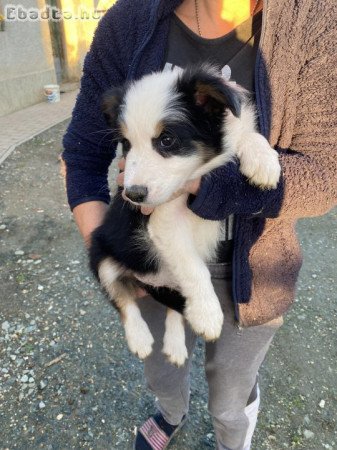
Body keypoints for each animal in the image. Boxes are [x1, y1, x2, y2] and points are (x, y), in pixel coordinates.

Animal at [88, 66, 280, 366]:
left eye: (167, 140)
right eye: (126, 144)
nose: (133, 195)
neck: (201, 170)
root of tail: (150, 281)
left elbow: (246, 133)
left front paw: (264, 162)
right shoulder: (164, 221)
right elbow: (194, 268)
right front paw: (208, 315)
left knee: (176, 308)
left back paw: (176, 345)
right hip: (102, 253)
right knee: (122, 299)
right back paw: (140, 338)